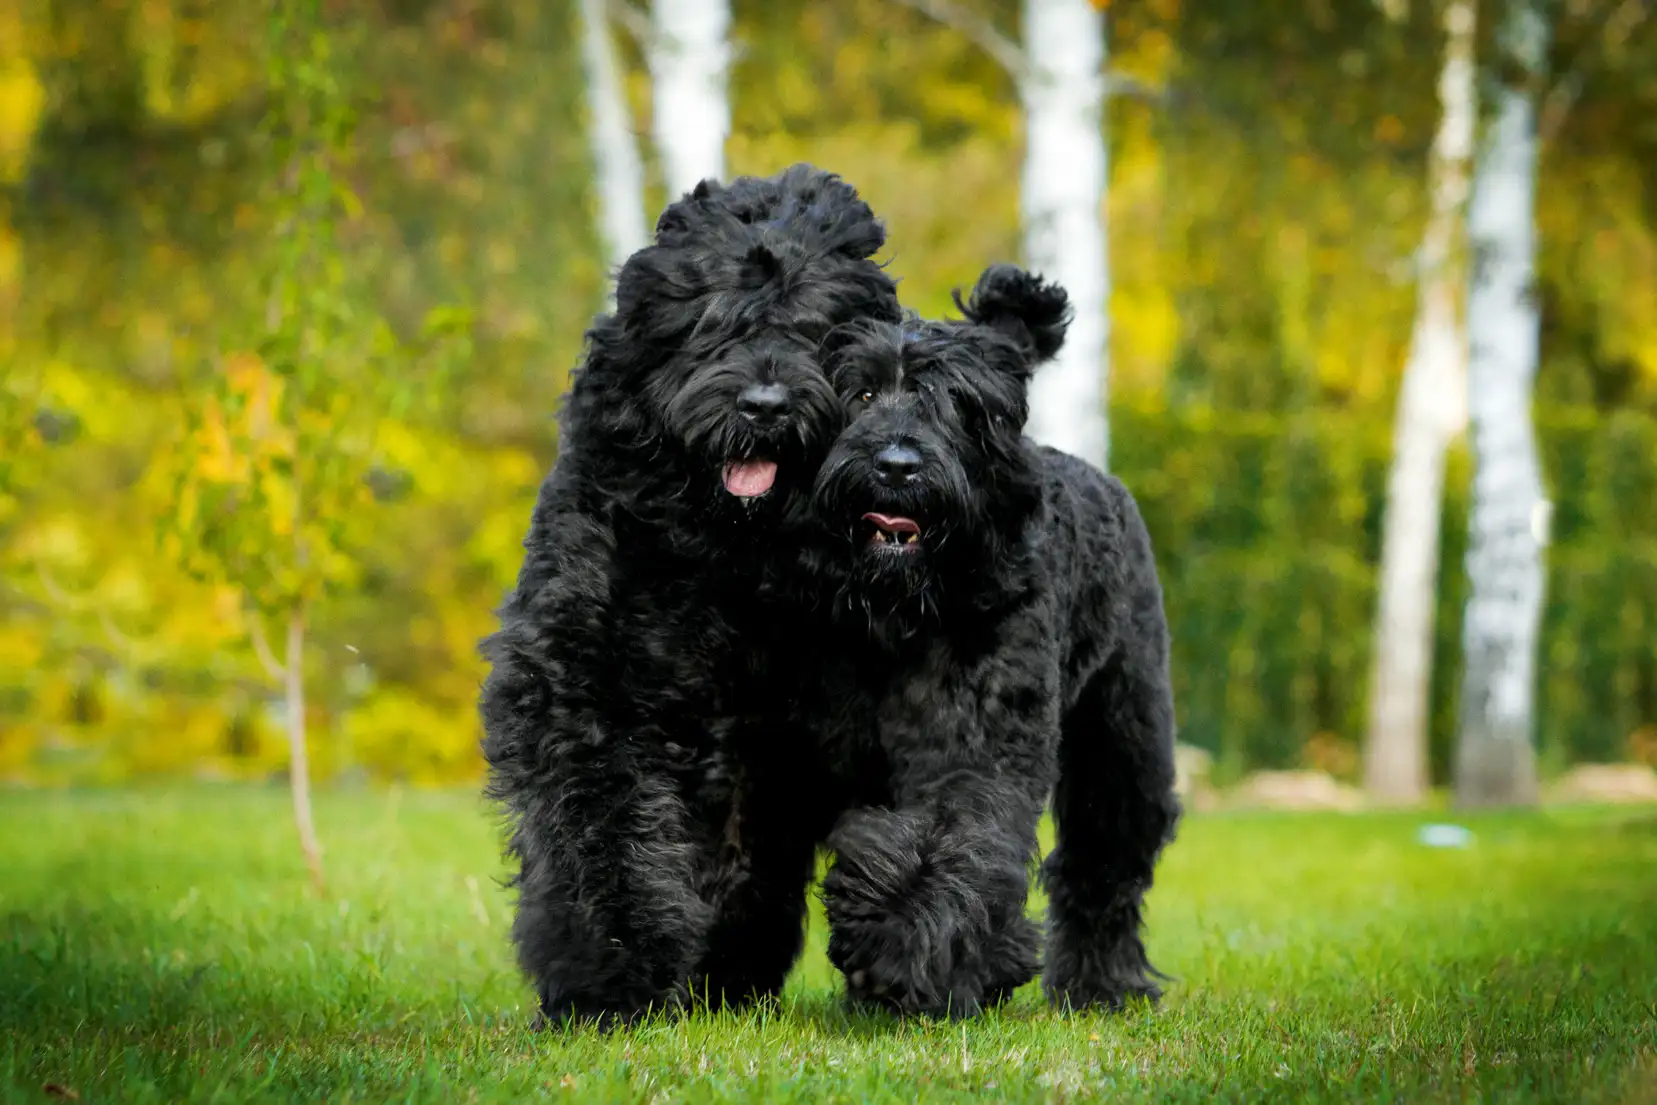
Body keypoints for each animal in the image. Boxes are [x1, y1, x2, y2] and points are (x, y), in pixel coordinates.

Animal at [473, 164, 901, 1027]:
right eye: (713, 326)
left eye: (814, 330)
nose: (765, 405)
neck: (728, 549)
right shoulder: (589, 681)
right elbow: (600, 823)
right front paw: (609, 972)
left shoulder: (786, 731)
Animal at [785, 265, 1186, 1020]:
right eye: (861, 392)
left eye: (954, 402)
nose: (896, 464)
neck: (903, 613)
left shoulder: (975, 746)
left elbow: (953, 838)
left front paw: (905, 936)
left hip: (1123, 739)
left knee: (1103, 864)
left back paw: (1102, 983)